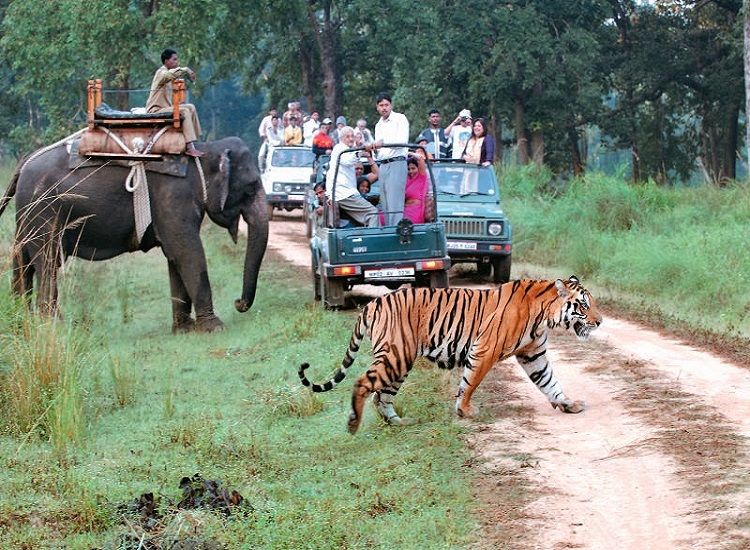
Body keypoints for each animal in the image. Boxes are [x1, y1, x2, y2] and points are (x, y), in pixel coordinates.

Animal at [0, 136, 270, 334]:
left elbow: (175, 256)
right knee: (48, 260)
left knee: (23, 260)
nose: (238, 303)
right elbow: (187, 251)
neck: (202, 151)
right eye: (250, 187)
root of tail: (25, 161)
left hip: (27, 214)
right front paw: (215, 328)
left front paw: (184, 329)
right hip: (44, 210)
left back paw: (22, 321)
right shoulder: (173, 196)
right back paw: (54, 327)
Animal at [300, 276, 604, 436]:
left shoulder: (534, 356)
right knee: (363, 383)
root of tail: (372, 303)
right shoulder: (484, 350)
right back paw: (353, 424)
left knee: (381, 396)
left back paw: (398, 422)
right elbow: (469, 383)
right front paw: (465, 410)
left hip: (399, 361)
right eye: (583, 305)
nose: (600, 321)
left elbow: (549, 382)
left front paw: (568, 404)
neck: (545, 316)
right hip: (396, 356)